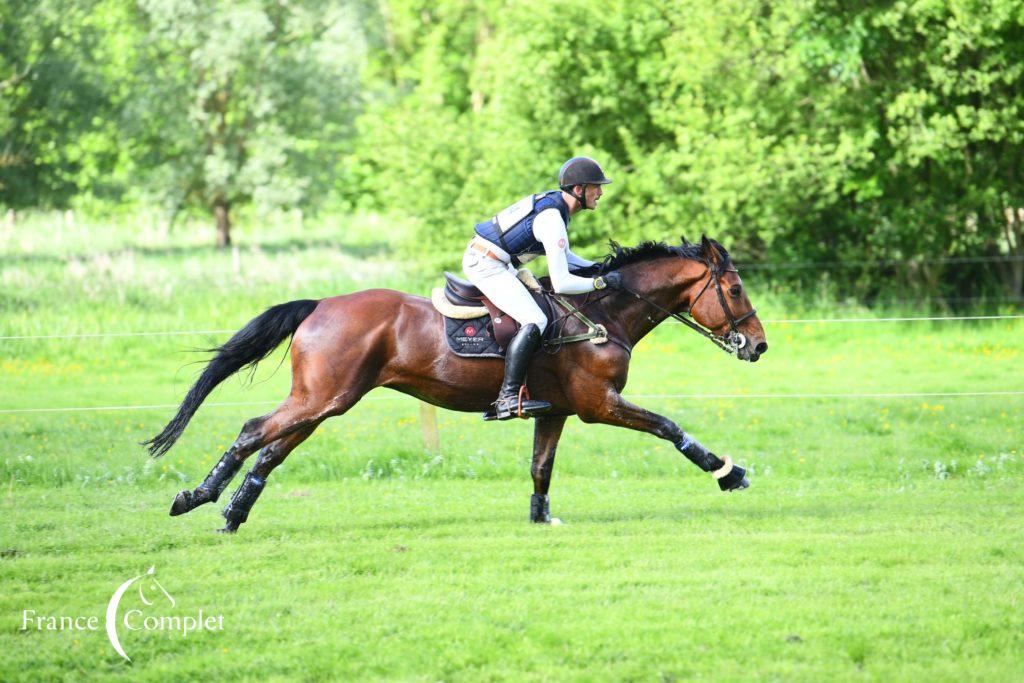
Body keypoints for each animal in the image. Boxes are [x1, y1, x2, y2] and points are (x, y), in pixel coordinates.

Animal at [144, 236, 770, 532]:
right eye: (735, 289)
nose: (759, 345)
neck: (604, 315)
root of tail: (320, 305)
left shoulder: (556, 411)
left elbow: (541, 467)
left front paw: (540, 518)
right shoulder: (599, 403)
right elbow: (668, 426)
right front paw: (728, 472)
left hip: (322, 403)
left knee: (272, 449)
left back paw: (231, 513)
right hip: (324, 398)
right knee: (254, 431)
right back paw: (196, 498)